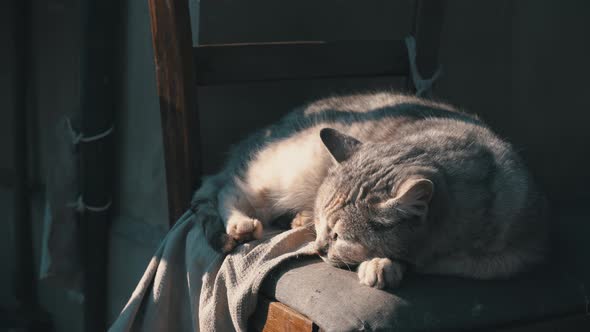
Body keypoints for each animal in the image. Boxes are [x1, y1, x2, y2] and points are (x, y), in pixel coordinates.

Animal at [193, 92, 552, 290]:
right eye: (326, 231)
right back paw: (242, 222)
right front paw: (383, 264)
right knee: (229, 188)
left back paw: (298, 218)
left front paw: (384, 264)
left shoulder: (510, 258)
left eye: (340, 236)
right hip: (290, 170)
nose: (318, 248)